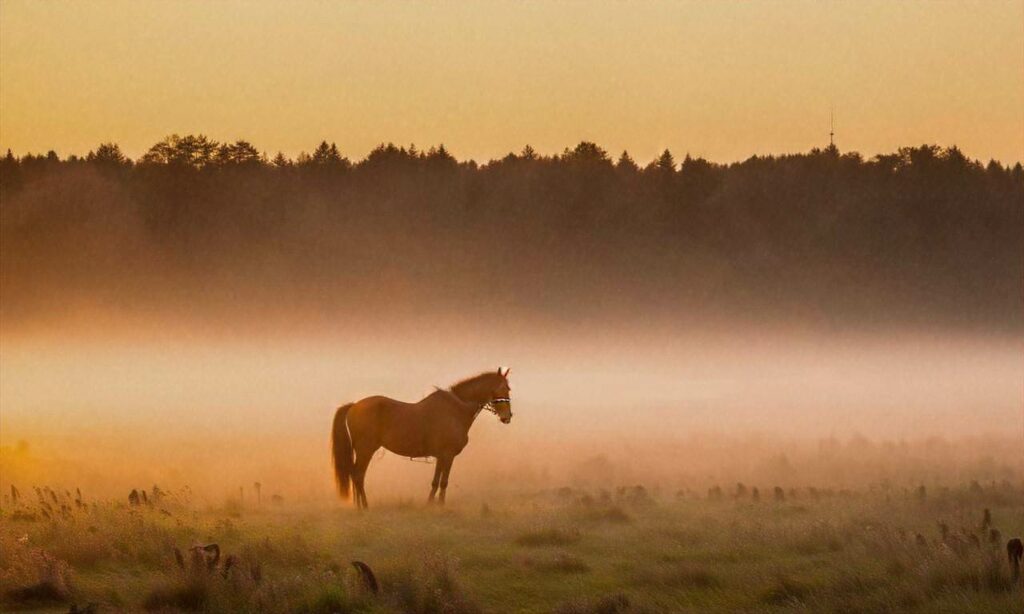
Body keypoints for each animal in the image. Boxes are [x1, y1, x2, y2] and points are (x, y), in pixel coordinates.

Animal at [331, 368, 512, 507]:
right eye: (504, 387)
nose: (507, 417)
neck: (456, 409)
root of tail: (354, 406)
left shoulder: (441, 456)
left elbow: (436, 481)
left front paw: (430, 504)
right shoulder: (448, 455)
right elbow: (444, 482)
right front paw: (440, 506)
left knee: (356, 475)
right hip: (365, 450)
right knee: (358, 475)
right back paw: (364, 506)